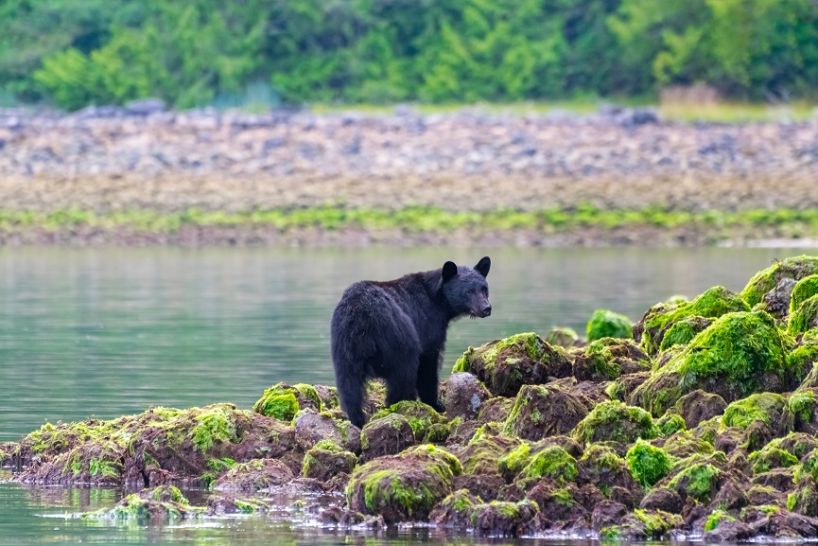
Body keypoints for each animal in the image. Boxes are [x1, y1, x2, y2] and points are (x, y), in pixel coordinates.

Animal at [326, 255, 490, 424]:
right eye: (468, 291)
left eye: (484, 289)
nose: (486, 308)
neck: (437, 299)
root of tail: (361, 314)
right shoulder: (427, 323)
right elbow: (428, 363)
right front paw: (436, 404)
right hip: (397, 335)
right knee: (403, 372)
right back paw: (400, 405)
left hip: (344, 345)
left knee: (349, 385)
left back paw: (357, 419)